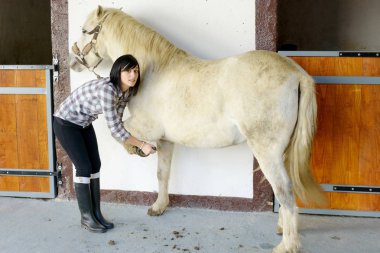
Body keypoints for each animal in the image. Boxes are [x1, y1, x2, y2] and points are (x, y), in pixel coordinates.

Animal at [70, 6, 324, 253]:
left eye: (84, 30)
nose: (73, 62)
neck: (153, 72)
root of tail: (296, 73)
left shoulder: (145, 127)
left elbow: (119, 132)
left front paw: (135, 149)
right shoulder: (165, 140)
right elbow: (162, 173)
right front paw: (159, 206)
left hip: (267, 151)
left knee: (284, 190)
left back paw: (287, 246)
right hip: (282, 151)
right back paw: (282, 229)